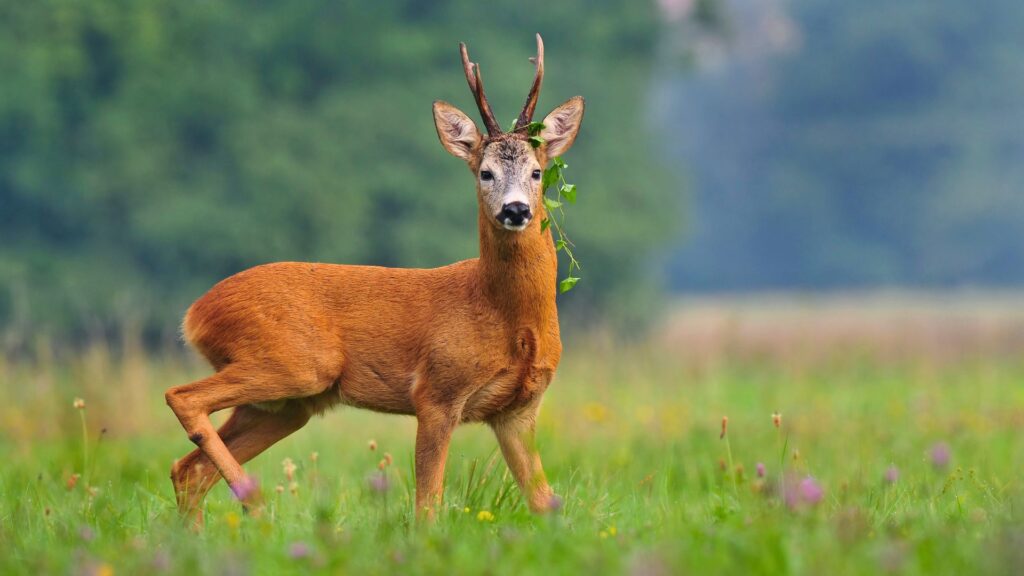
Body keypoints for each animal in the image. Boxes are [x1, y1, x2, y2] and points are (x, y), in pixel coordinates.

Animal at [164, 33, 585, 524]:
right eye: (486, 172)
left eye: (537, 172)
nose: (515, 210)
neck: (506, 317)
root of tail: (195, 313)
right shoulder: (436, 392)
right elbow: (427, 504)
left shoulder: (518, 411)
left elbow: (544, 503)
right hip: (295, 363)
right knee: (182, 398)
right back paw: (256, 501)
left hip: (286, 403)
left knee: (188, 469)